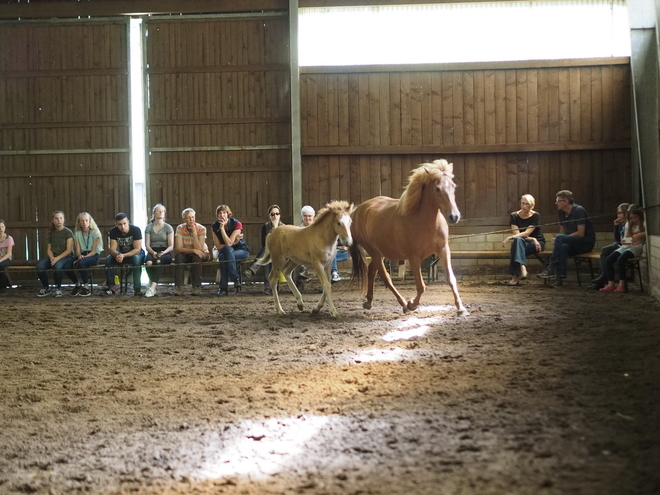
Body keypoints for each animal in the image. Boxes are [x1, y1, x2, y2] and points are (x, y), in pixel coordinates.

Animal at [350, 160, 470, 318]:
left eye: (453, 186)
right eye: (437, 189)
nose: (454, 216)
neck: (425, 221)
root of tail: (358, 210)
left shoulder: (443, 250)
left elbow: (451, 279)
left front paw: (461, 308)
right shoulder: (413, 257)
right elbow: (421, 286)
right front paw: (412, 304)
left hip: (381, 253)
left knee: (372, 271)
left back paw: (369, 302)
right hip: (374, 252)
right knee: (386, 277)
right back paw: (403, 304)